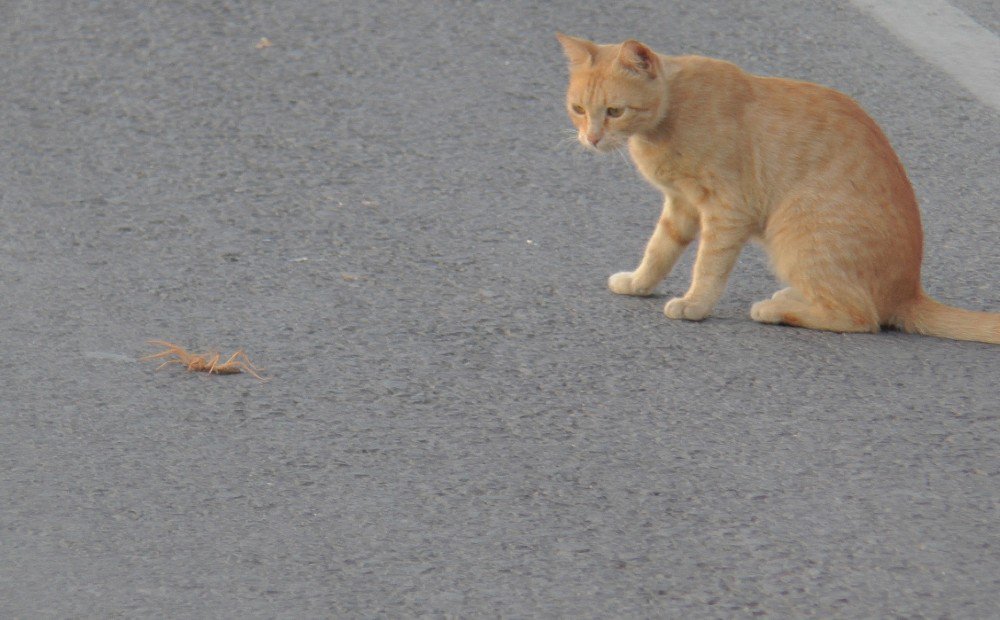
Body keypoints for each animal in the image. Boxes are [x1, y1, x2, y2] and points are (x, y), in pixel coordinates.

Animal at [560, 32, 996, 344]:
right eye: (578, 109)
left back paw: (775, 310)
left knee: (861, 317)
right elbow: (658, 250)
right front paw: (638, 283)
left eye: (614, 111)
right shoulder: (681, 204)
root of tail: (909, 290)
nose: (591, 139)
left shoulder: (726, 210)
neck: (669, 117)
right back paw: (787, 298)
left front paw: (695, 305)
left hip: (798, 234)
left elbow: (708, 265)